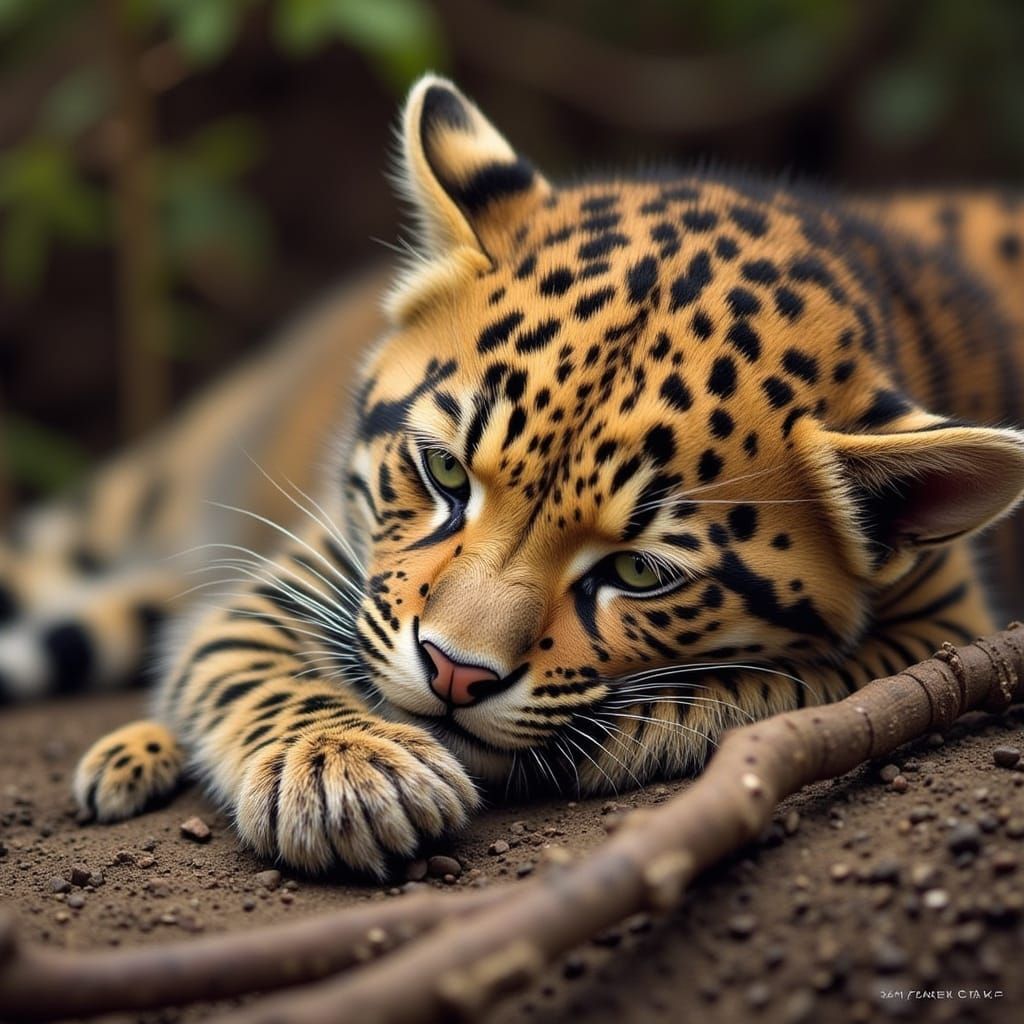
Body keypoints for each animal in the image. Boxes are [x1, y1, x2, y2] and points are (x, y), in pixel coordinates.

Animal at [3, 75, 1024, 876]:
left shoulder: (953, 624)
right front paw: (347, 773)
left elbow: (795, 678)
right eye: (444, 471)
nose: (455, 676)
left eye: (640, 572)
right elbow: (242, 659)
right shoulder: (308, 573)